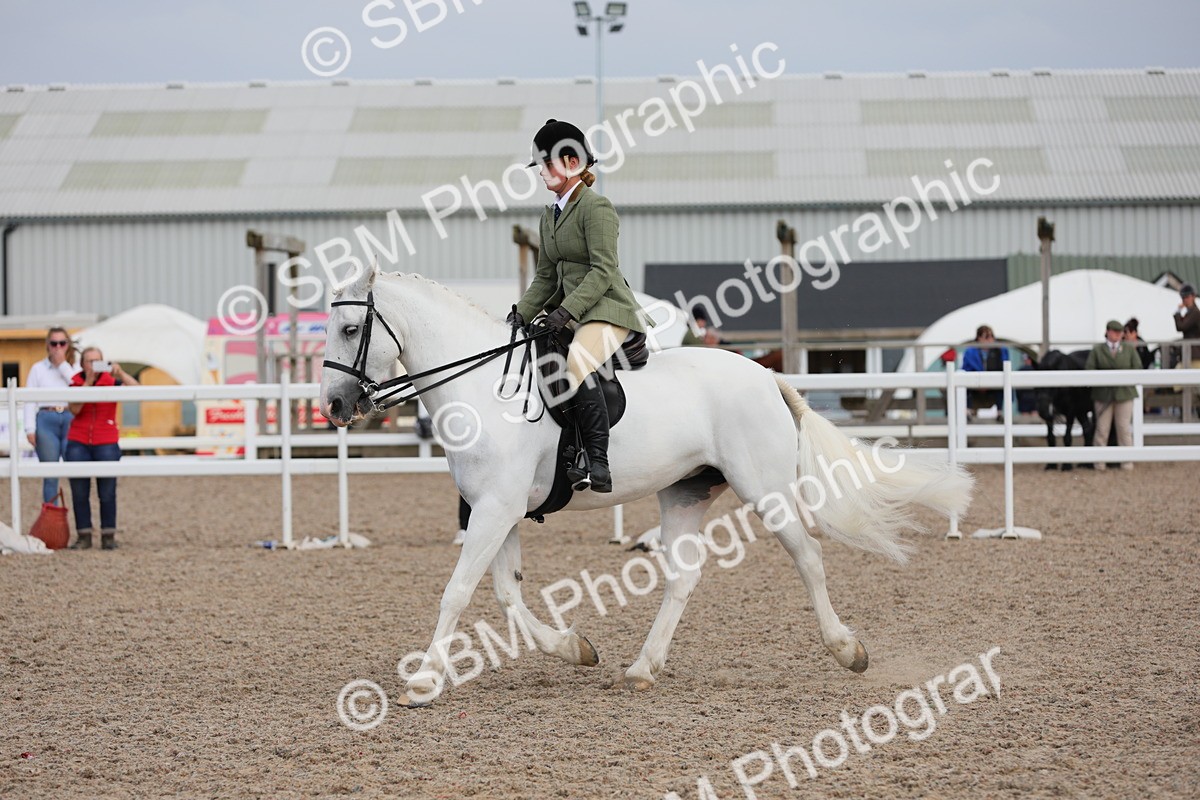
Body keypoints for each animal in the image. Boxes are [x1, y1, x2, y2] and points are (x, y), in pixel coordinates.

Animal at [318, 268, 974, 706]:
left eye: (350, 327)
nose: (334, 406)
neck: (485, 390)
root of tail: (765, 374)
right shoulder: (493, 510)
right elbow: (506, 596)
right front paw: (574, 648)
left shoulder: (495, 510)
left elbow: (456, 593)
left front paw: (423, 681)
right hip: (685, 492)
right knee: (684, 576)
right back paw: (641, 667)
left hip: (763, 490)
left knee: (809, 556)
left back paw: (847, 650)